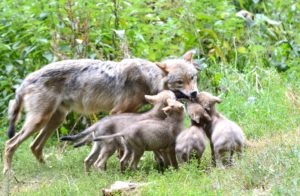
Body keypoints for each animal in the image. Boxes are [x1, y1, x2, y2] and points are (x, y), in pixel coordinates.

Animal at [3, 50, 199, 173]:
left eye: (192, 78)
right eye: (179, 82)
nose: (194, 93)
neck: (148, 79)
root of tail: (28, 78)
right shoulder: (117, 111)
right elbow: (121, 146)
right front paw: (118, 165)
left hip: (55, 120)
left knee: (34, 146)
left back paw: (47, 168)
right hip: (39, 121)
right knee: (10, 144)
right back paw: (8, 172)